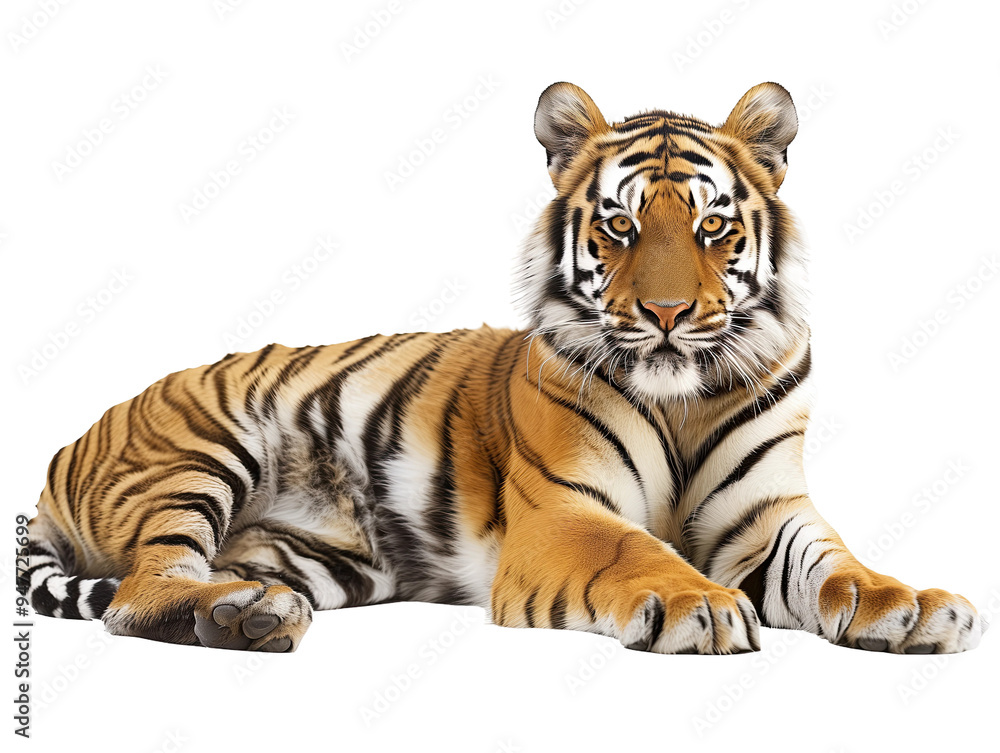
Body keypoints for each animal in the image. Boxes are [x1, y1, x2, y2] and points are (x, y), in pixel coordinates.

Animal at [20, 82, 986, 655]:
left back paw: (244, 610)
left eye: (711, 225)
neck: (681, 399)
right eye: (621, 226)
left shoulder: (767, 516)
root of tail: (64, 449)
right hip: (197, 453)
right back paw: (238, 615)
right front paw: (702, 604)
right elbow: (637, 548)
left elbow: (838, 563)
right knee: (137, 590)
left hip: (321, 559)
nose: (668, 314)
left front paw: (915, 603)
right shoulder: (563, 512)